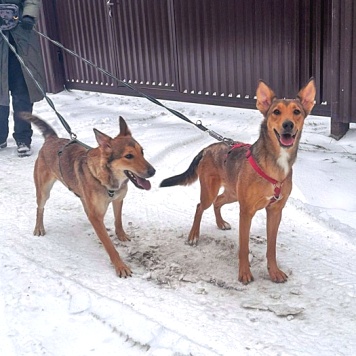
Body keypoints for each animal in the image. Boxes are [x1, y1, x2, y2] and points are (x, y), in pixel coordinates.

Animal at [21, 115, 154, 276]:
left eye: (142, 152)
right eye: (129, 156)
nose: (153, 171)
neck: (107, 179)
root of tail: (52, 139)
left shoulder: (118, 200)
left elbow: (118, 220)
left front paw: (121, 235)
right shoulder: (96, 215)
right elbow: (110, 246)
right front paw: (120, 266)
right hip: (44, 191)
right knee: (40, 209)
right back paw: (39, 227)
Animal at [160, 80, 316, 284]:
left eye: (297, 111)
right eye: (276, 112)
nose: (288, 125)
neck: (275, 164)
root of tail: (208, 148)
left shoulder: (275, 211)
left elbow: (271, 248)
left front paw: (274, 272)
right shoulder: (246, 212)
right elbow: (244, 247)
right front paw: (244, 273)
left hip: (232, 193)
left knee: (217, 202)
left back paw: (220, 223)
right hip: (210, 191)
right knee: (200, 206)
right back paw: (194, 235)